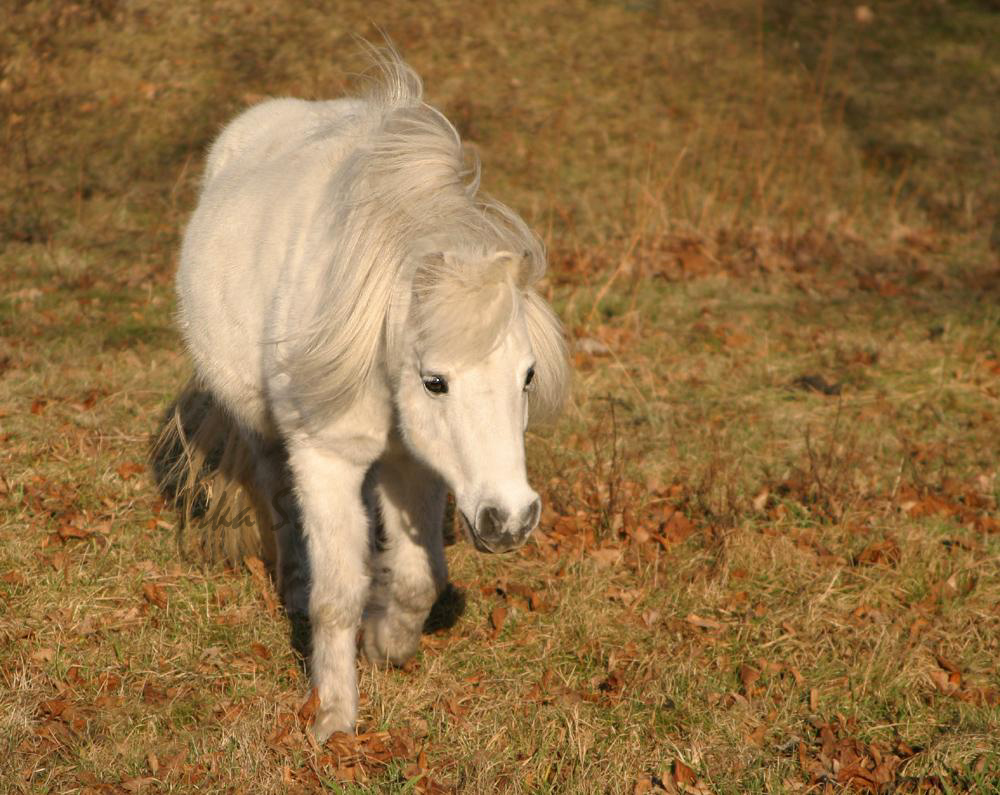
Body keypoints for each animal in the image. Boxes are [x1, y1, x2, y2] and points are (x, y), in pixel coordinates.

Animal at [162, 45, 572, 740]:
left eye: (527, 375)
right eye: (435, 381)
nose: (510, 521)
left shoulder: (418, 464)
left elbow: (416, 579)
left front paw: (387, 645)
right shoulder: (328, 458)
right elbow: (337, 597)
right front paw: (333, 718)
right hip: (263, 433)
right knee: (279, 502)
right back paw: (293, 586)